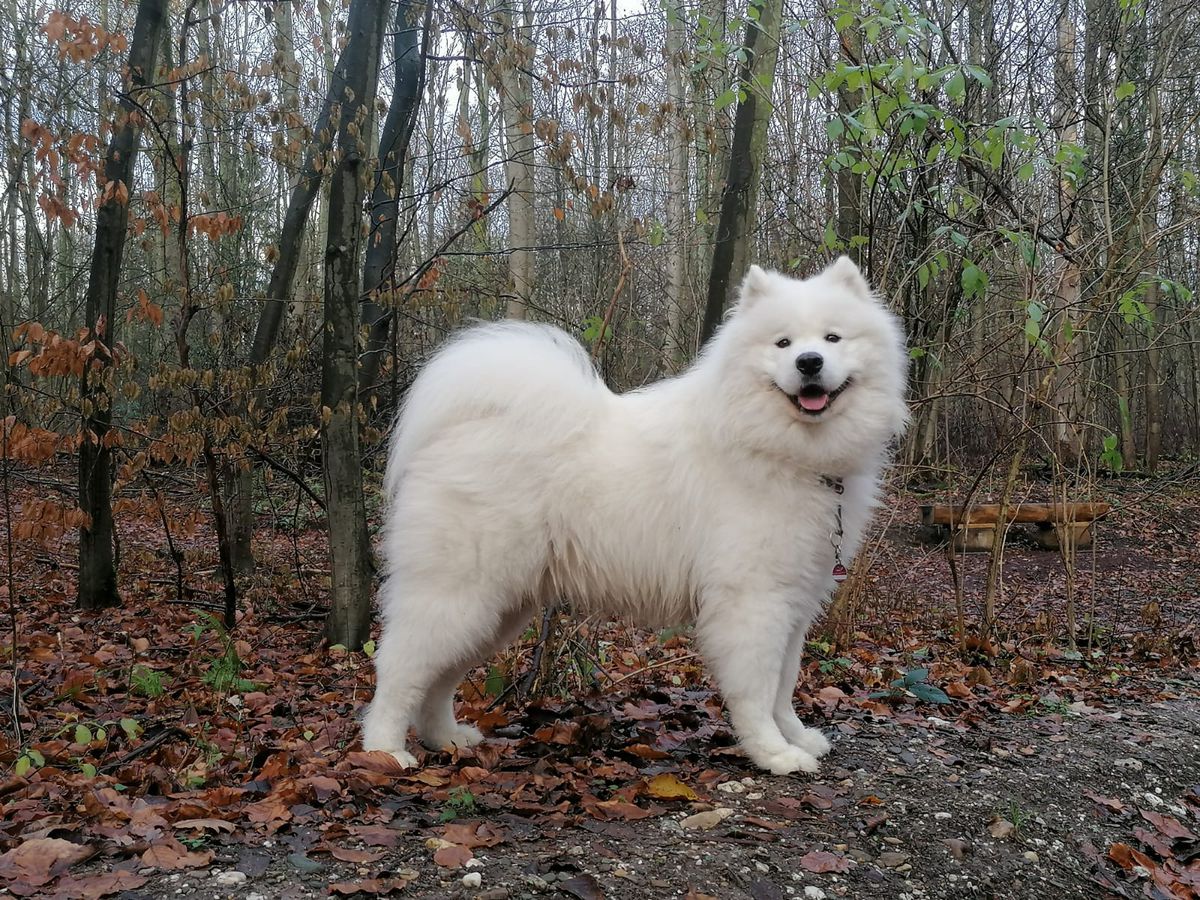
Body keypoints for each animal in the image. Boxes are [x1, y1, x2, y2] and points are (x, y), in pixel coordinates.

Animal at [360, 259, 902, 777]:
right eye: (783, 343)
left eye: (832, 338)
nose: (809, 362)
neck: (779, 449)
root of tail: (460, 429)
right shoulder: (752, 603)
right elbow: (757, 689)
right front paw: (773, 753)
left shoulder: (794, 601)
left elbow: (784, 684)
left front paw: (797, 737)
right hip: (460, 594)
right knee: (400, 668)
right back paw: (386, 751)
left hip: (498, 608)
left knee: (439, 679)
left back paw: (447, 739)